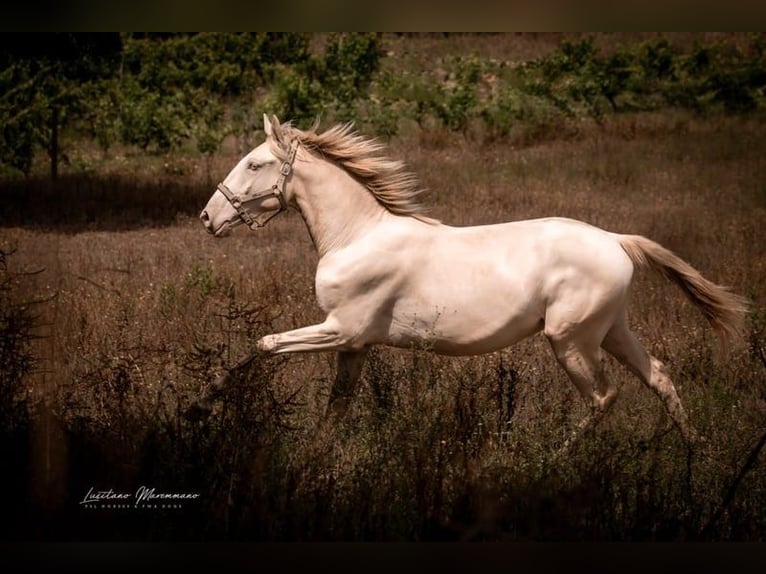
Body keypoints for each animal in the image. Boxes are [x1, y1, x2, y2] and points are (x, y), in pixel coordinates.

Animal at [190, 113, 752, 450]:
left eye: (255, 163)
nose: (207, 217)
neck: (357, 235)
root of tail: (616, 240)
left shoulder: (341, 328)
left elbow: (265, 344)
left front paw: (200, 405)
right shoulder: (355, 344)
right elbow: (337, 404)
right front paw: (320, 451)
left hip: (570, 339)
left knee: (603, 397)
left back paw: (556, 458)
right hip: (611, 329)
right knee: (658, 376)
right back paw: (694, 451)